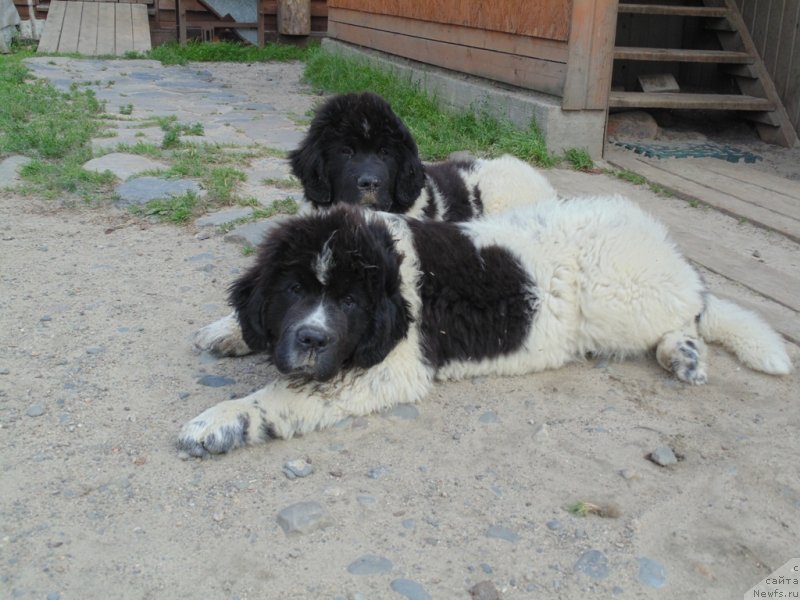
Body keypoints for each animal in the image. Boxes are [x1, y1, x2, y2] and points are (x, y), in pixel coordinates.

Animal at [178, 199, 792, 458]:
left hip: (619, 296)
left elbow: (280, 395)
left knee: (690, 313)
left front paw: (218, 422)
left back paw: (683, 351)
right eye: (294, 292)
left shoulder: (385, 367)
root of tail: (671, 252)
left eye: (349, 301)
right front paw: (229, 329)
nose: (310, 339)